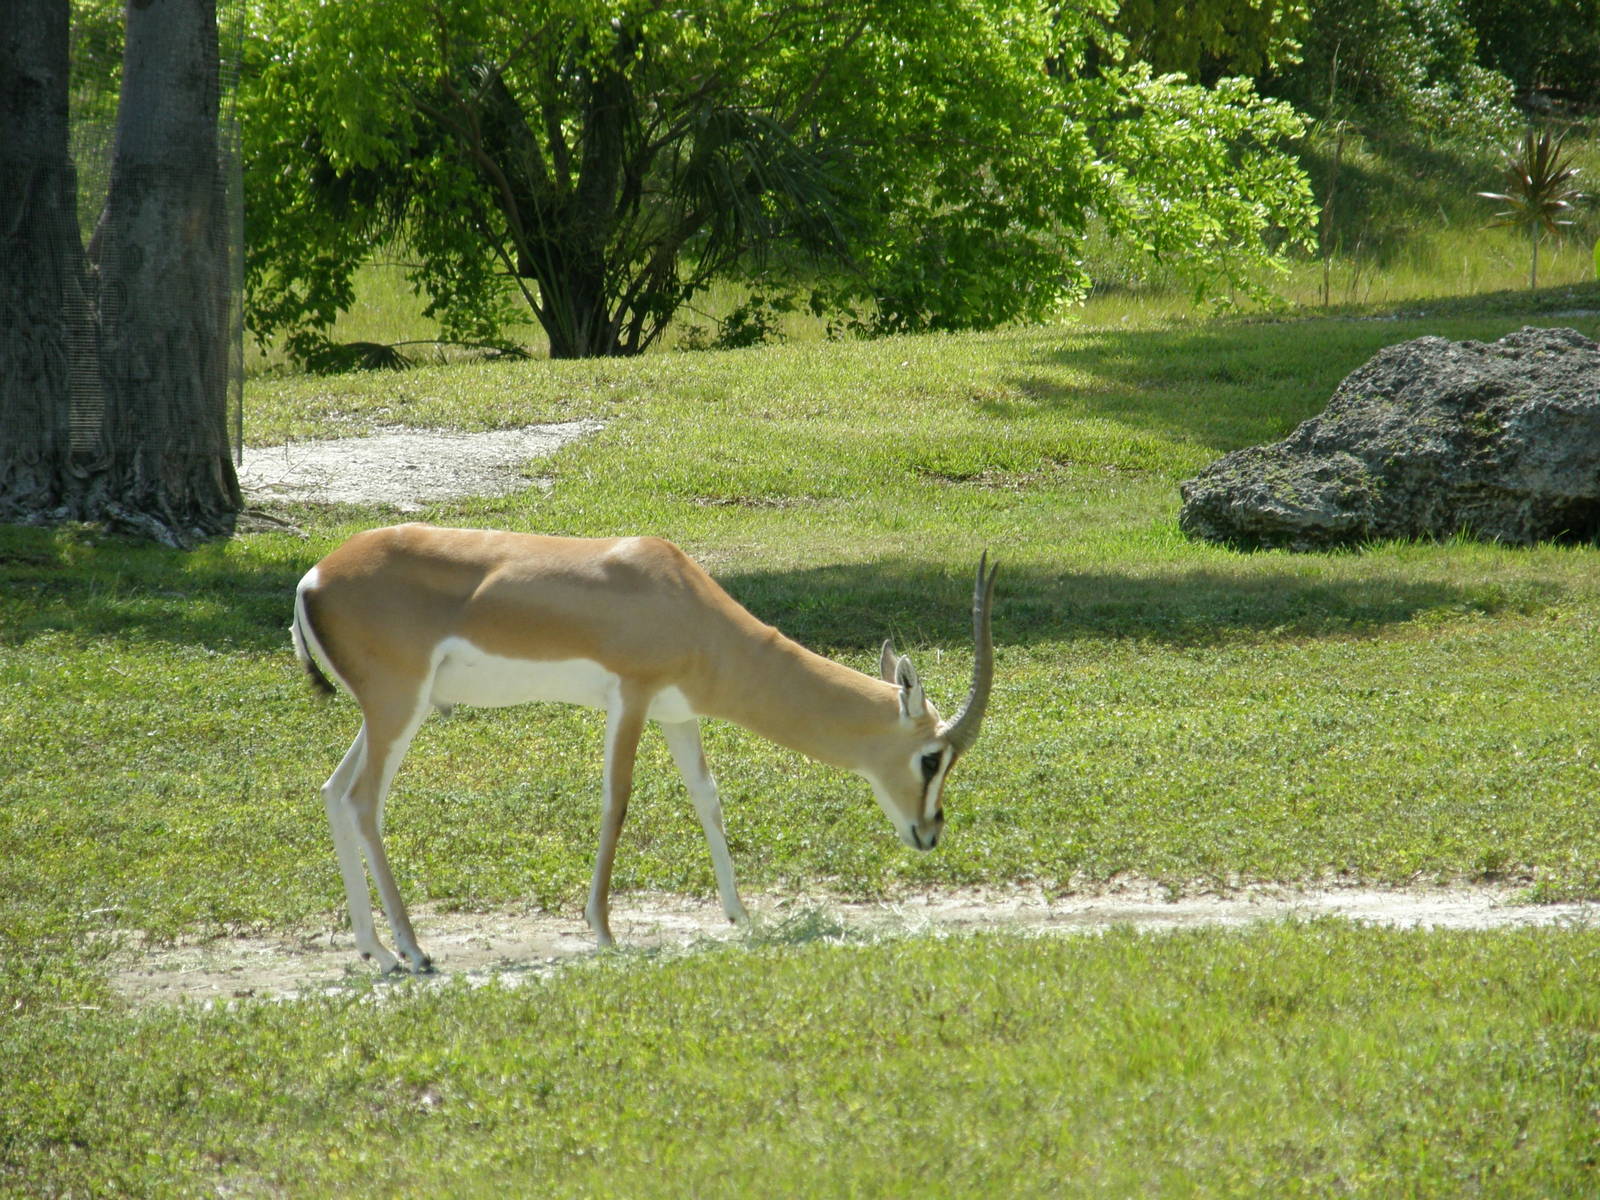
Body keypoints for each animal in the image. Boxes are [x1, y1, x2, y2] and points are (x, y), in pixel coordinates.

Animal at [290, 523, 998, 973]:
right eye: (932, 757)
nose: (930, 832)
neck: (682, 600)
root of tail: (312, 579)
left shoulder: (675, 715)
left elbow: (708, 800)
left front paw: (741, 916)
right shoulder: (630, 698)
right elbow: (617, 801)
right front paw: (604, 930)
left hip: (384, 714)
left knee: (332, 792)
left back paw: (377, 952)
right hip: (398, 707)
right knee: (362, 801)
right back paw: (414, 952)